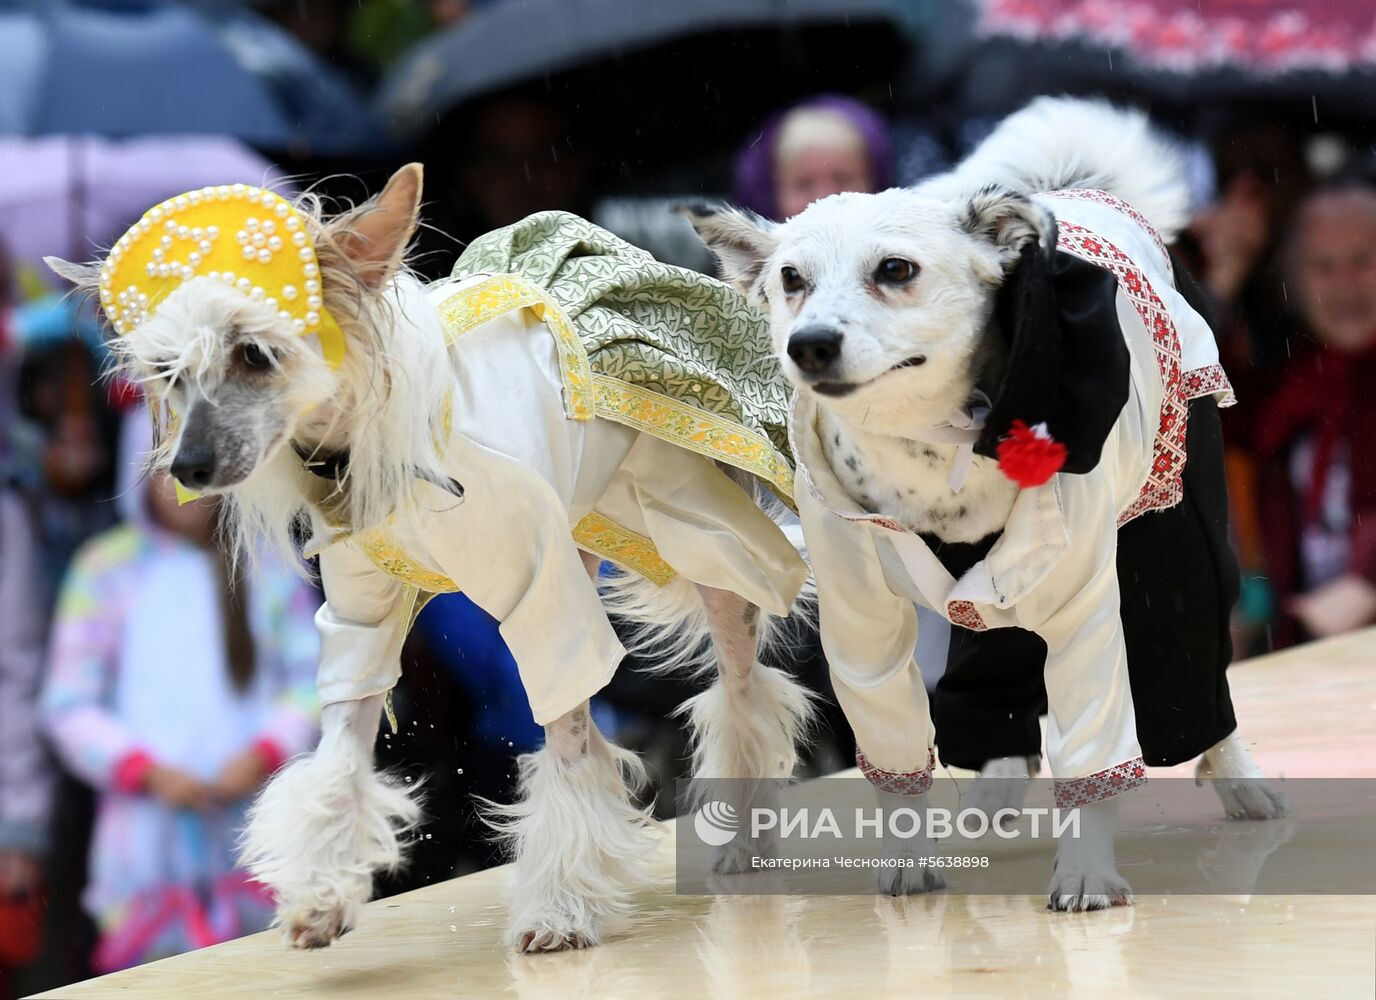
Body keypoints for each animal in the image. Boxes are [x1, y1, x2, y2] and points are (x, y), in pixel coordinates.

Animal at [48, 168, 809, 957]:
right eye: (166, 371)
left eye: (254, 354)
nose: (189, 469)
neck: (358, 442)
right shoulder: (360, 614)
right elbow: (342, 749)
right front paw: (320, 895)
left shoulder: (542, 593)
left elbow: (570, 741)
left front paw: (559, 907)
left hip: (696, 521)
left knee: (743, 683)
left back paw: (746, 835)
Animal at [688, 95, 1287, 913]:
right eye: (790, 279)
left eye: (895, 270)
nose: (808, 343)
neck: (929, 448)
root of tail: (1074, 189)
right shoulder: (862, 625)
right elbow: (894, 744)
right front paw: (909, 855)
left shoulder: (1088, 605)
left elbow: (1094, 740)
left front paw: (1086, 870)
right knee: (998, 662)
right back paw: (995, 783)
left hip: (1173, 540)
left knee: (1193, 663)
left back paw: (1239, 780)